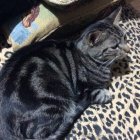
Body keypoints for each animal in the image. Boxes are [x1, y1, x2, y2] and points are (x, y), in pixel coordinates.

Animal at [0, 6, 129, 140]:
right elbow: (95, 93)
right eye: (114, 47)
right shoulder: (82, 90)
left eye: (125, 38)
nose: (128, 50)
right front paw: (105, 94)